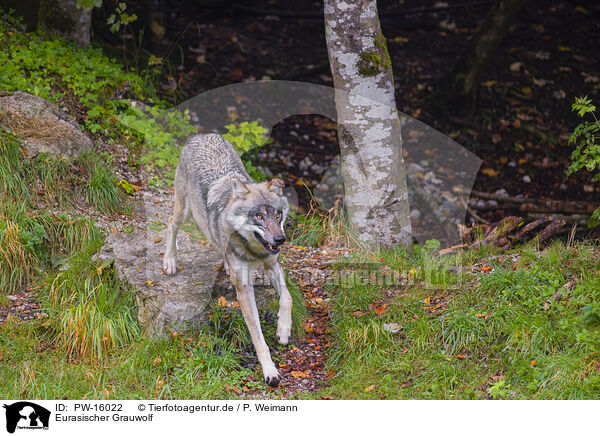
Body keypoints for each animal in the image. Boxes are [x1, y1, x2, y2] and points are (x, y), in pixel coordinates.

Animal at [164, 133, 292, 384]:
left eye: (277, 215)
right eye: (259, 216)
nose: (280, 239)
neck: (253, 251)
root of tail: (201, 136)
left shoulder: (273, 263)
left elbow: (287, 298)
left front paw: (283, 331)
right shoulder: (243, 289)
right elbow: (258, 337)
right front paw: (269, 371)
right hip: (184, 211)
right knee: (171, 224)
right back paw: (170, 261)